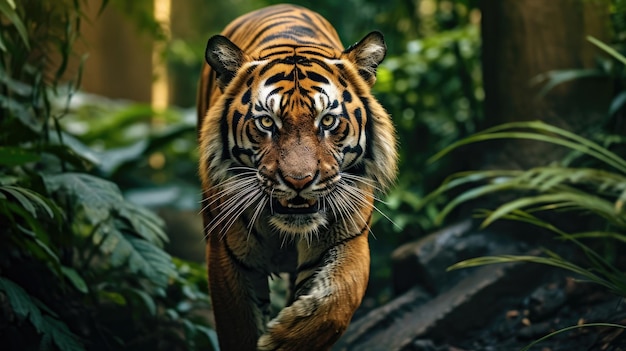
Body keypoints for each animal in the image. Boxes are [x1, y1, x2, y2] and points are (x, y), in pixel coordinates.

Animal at [196, 3, 394, 351]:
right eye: (266, 122)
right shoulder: (228, 256)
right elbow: (240, 328)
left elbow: (337, 303)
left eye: (327, 120)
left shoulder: (348, 240)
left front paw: (282, 339)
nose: (299, 181)